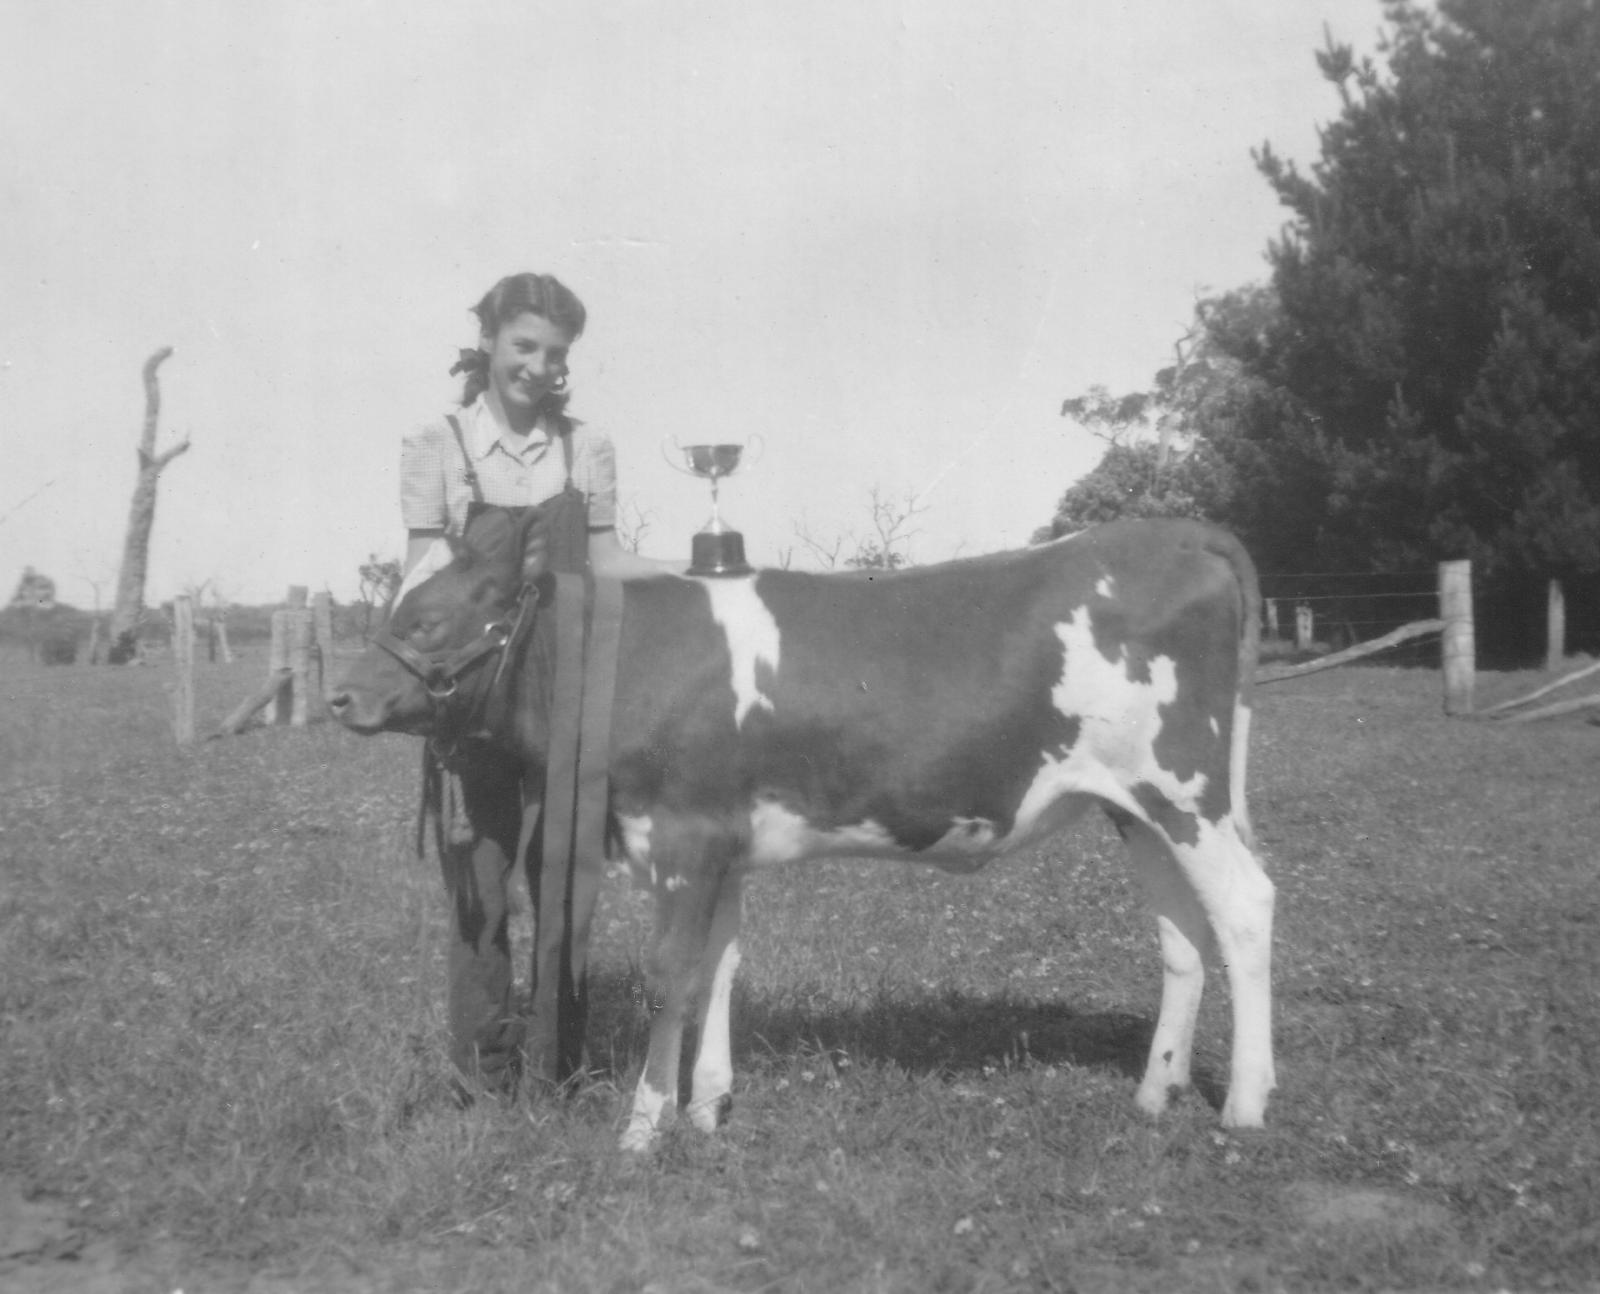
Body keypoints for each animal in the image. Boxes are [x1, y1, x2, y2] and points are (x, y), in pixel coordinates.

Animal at [334, 515, 1273, 1151]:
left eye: (425, 619)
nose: (342, 695)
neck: (622, 662)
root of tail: (1173, 532)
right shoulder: (723, 845)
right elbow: (719, 968)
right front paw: (707, 1106)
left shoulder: (684, 836)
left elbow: (670, 976)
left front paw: (644, 1126)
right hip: (1135, 807)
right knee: (1182, 935)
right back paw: (1156, 1092)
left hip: (1185, 791)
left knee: (1245, 907)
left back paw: (1246, 1102)